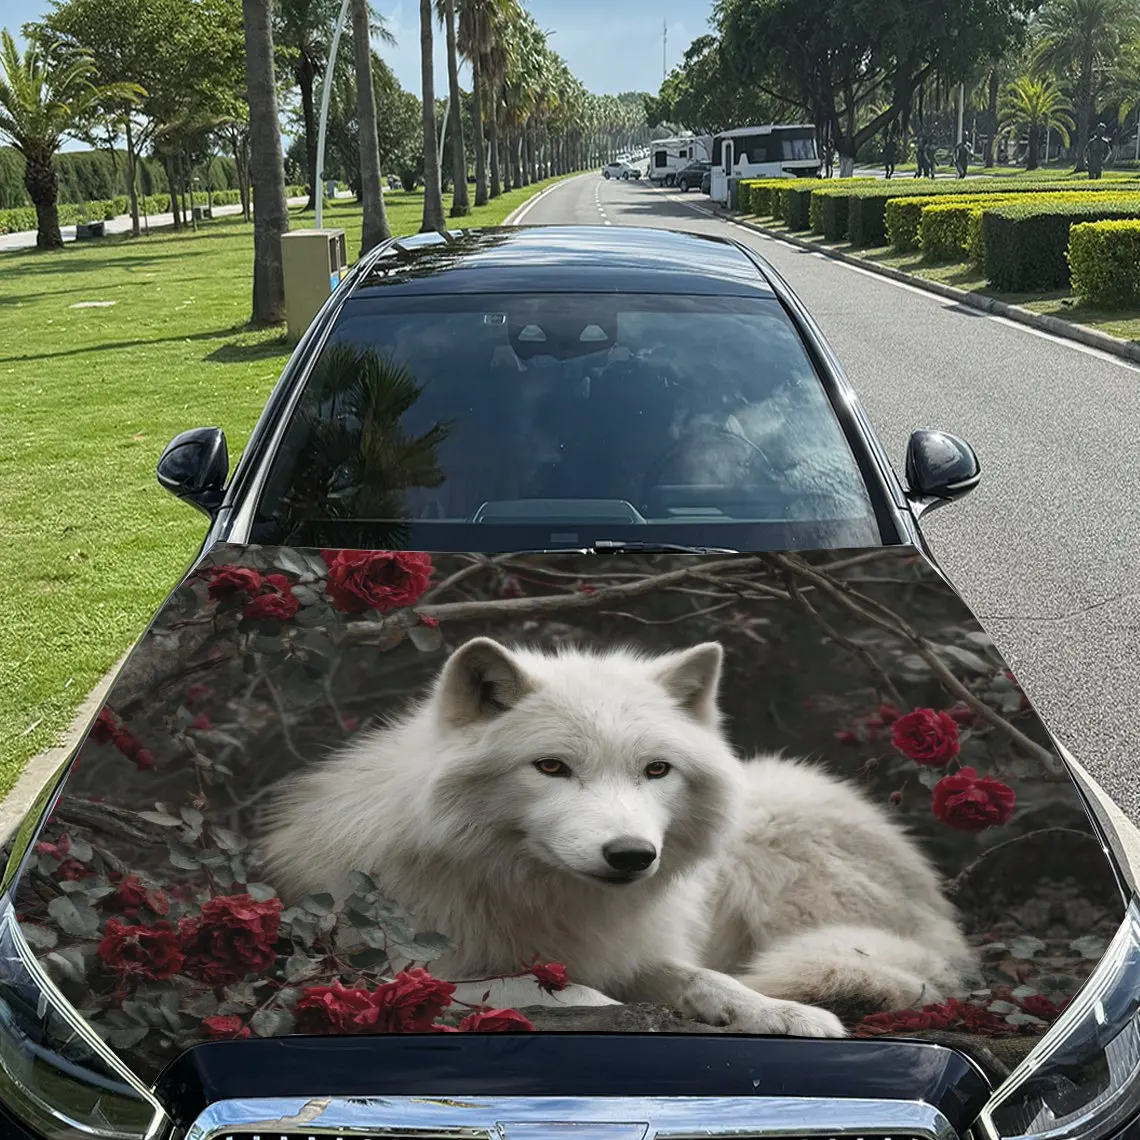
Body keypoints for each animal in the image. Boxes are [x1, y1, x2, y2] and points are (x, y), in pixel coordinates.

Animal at [261, 637, 974, 1037]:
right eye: (551, 767)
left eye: (656, 770)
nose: (632, 855)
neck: (544, 897)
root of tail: (941, 917)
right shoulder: (407, 975)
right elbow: (575, 992)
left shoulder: (638, 948)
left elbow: (708, 979)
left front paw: (782, 1014)